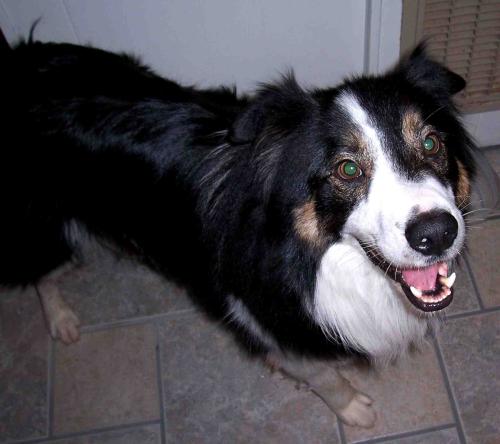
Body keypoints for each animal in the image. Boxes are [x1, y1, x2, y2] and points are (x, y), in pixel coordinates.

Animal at [1, 40, 475, 428]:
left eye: (431, 144)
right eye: (347, 169)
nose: (437, 233)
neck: (308, 261)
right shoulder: (262, 317)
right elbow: (321, 373)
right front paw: (353, 408)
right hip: (45, 222)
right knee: (39, 268)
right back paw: (61, 319)